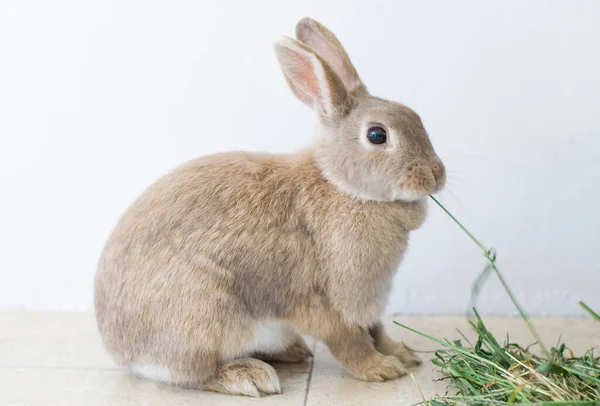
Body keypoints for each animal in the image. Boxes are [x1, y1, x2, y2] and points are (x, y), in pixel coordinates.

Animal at [95, 16, 446, 396]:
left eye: (416, 117)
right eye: (377, 135)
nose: (436, 175)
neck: (342, 186)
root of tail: (121, 351)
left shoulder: (370, 300)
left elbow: (377, 331)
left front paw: (404, 354)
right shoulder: (331, 302)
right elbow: (349, 342)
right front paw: (381, 369)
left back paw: (291, 352)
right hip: (204, 315)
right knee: (194, 373)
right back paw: (250, 376)